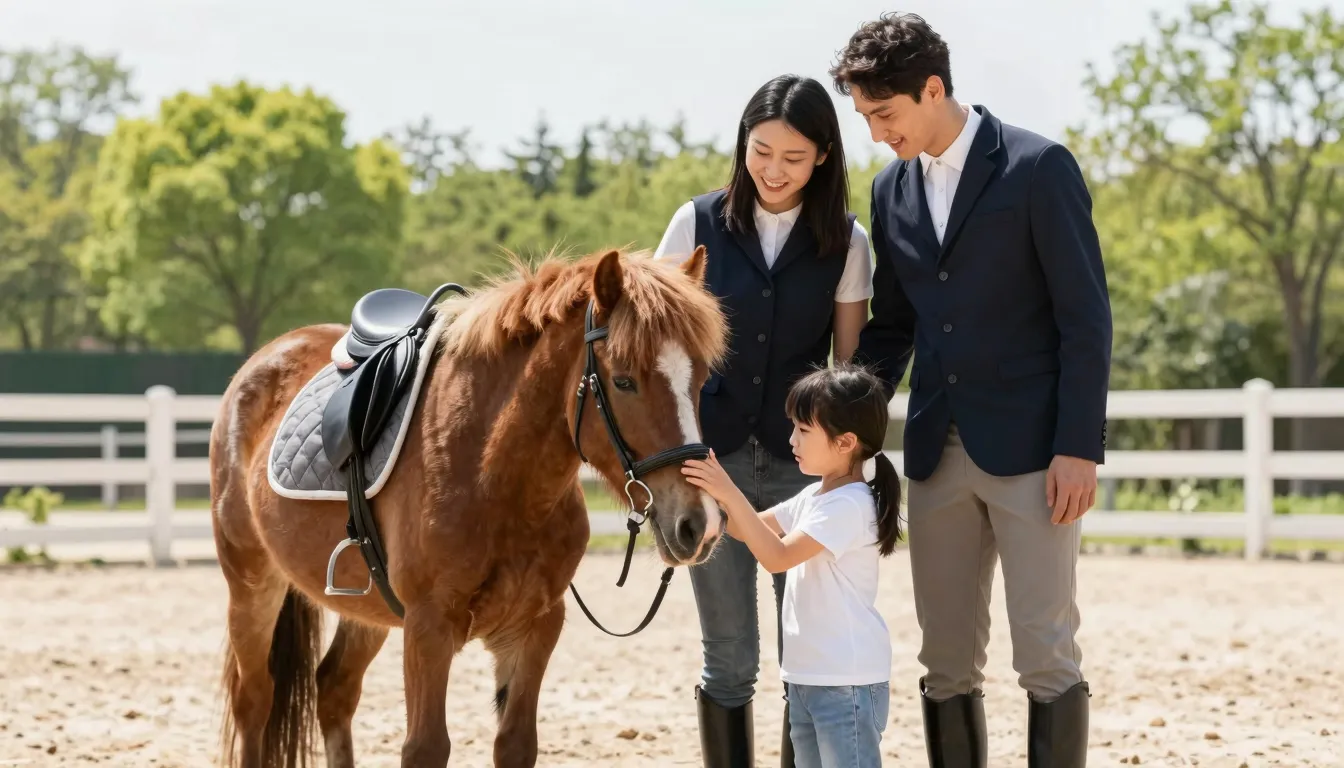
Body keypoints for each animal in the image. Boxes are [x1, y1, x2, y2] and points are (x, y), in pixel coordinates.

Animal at [208, 246, 728, 767]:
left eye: (701, 377)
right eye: (623, 381)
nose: (699, 523)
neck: (495, 477)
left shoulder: (535, 626)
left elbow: (516, 743)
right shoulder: (429, 627)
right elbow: (426, 746)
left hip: (365, 610)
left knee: (334, 689)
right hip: (251, 584)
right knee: (255, 700)